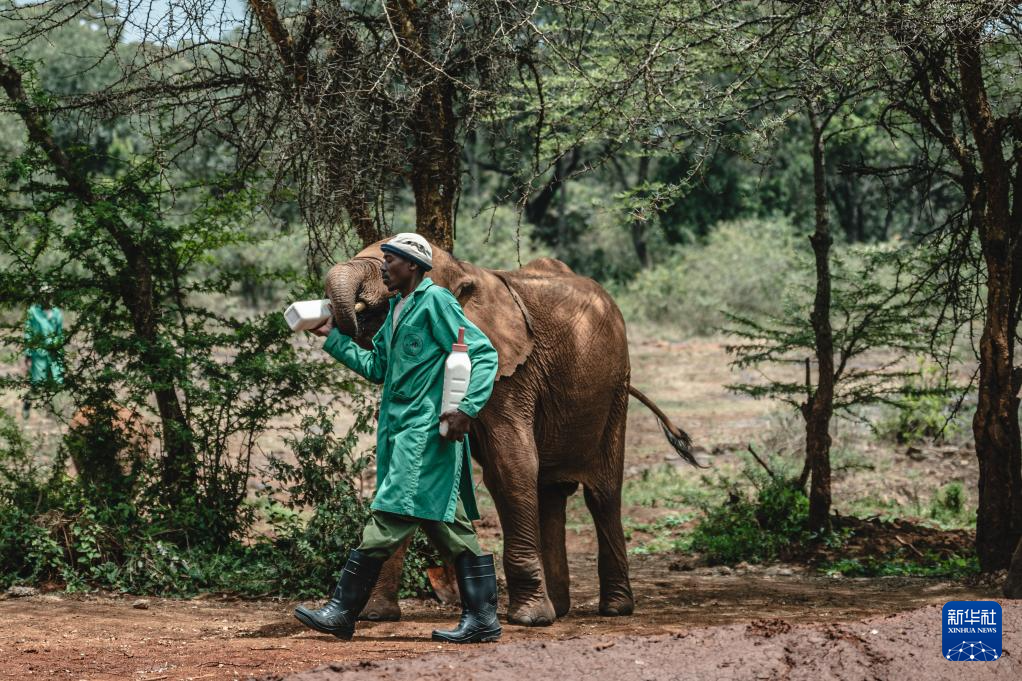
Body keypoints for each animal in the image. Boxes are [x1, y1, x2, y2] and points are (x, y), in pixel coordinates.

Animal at [327, 236, 694, 621]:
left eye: (387, 265)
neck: (465, 270)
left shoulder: (511, 370)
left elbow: (510, 466)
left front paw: (529, 618)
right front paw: (374, 615)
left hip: (616, 387)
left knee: (603, 493)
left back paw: (613, 608)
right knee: (550, 492)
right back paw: (559, 608)